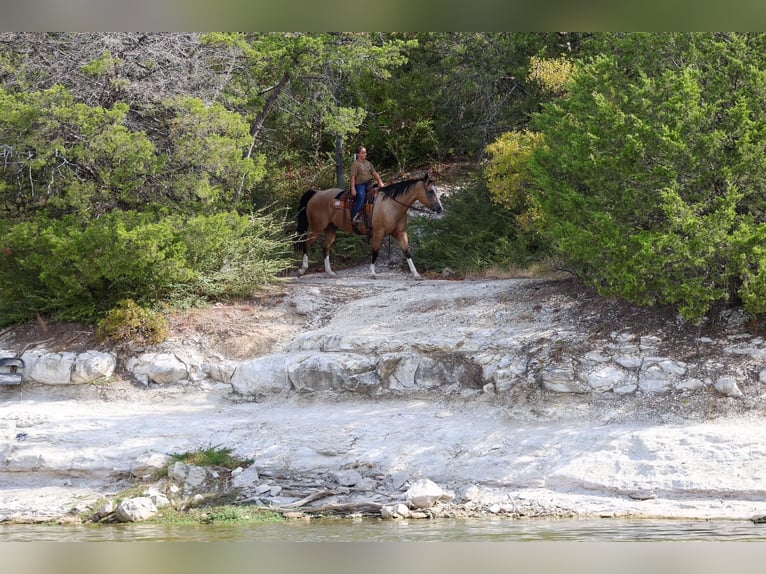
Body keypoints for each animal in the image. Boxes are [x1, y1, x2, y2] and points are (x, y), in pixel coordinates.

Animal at [296, 172, 443, 279]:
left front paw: (415, 273)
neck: (391, 205)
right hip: (316, 228)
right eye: (431, 192)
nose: (440, 209)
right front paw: (372, 272)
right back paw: (302, 270)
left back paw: (329, 272)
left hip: (331, 228)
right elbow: (375, 251)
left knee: (325, 246)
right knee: (306, 244)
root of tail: (317, 193)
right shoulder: (378, 232)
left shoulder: (400, 233)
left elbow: (407, 252)